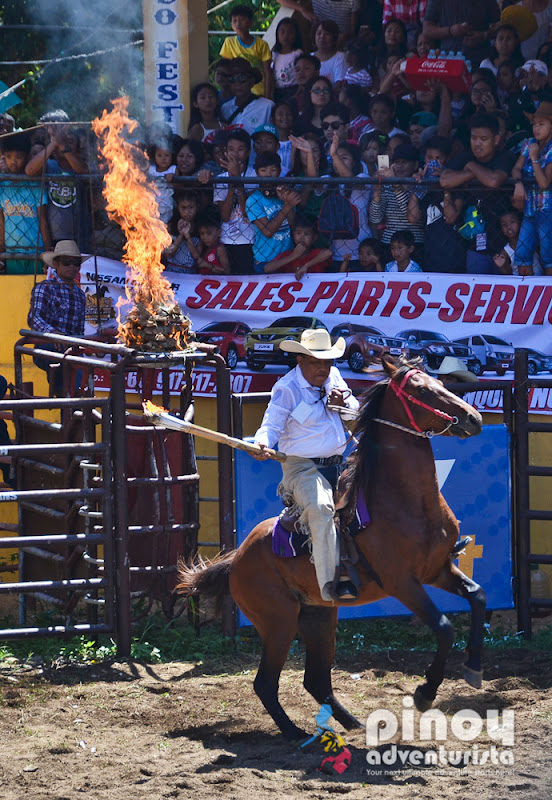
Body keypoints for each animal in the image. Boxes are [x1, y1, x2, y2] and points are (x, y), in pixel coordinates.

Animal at [178, 360, 488, 740]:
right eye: (420, 389)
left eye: (439, 382)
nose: (473, 418)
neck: (407, 503)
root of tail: (237, 558)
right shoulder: (403, 583)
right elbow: (444, 627)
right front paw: (425, 692)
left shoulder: (439, 569)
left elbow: (478, 597)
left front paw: (474, 669)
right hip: (279, 622)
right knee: (266, 682)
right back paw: (294, 732)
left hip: (320, 616)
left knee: (316, 680)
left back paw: (352, 723)